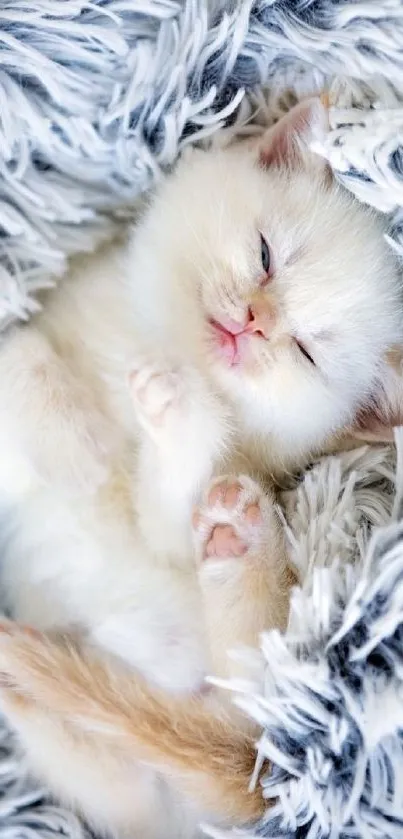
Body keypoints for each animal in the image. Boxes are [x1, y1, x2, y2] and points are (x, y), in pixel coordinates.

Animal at [0, 100, 403, 839]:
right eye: (266, 256)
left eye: (306, 351)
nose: (252, 322)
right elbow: (21, 353)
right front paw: (77, 443)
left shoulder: (201, 492)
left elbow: (162, 518)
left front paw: (177, 409)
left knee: (259, 708)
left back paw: (240, 544)